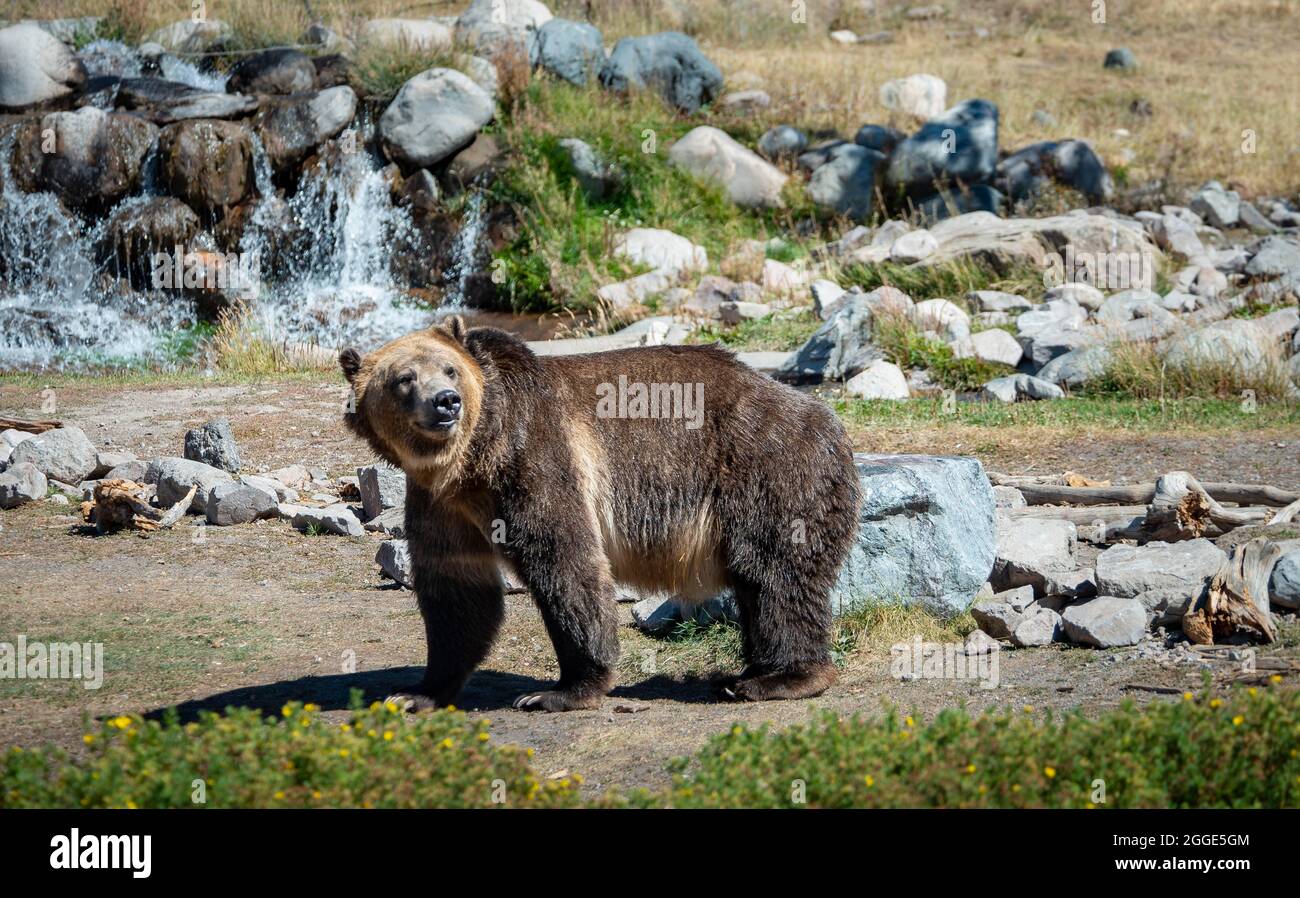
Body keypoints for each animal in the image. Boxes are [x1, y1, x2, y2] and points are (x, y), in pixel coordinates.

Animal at [340, 319, 857, 712]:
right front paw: (418, 692)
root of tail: (825, 416)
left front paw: (560, 690)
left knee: (774, 574)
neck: (474, 456)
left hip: (766, 470)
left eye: (449, 368)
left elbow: (564, 560)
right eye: (404, 378)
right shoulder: (440, 500)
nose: (446, 400)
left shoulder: (537, 456)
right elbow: (456, 590)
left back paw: (777, 677)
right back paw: (751, 671)